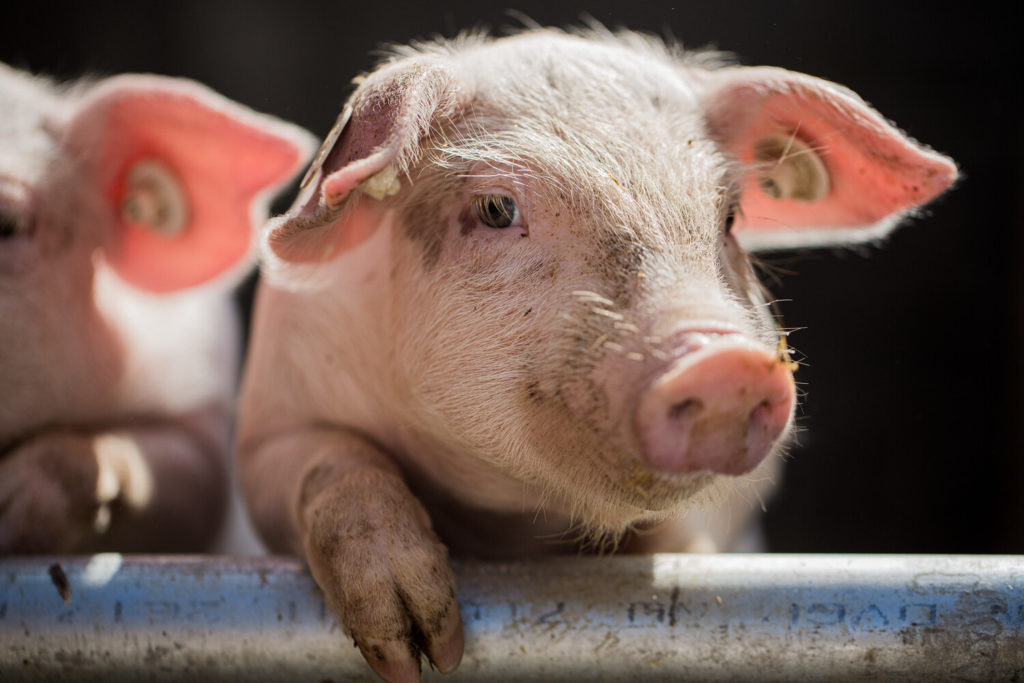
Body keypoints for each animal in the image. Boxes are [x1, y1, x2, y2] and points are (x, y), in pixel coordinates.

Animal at [235, 26, 954, 683]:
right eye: (496, 208)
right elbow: (331, 463)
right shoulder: (270, 431)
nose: (723, 364)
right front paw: (416, 652)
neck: (514, 523)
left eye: (729, 217)